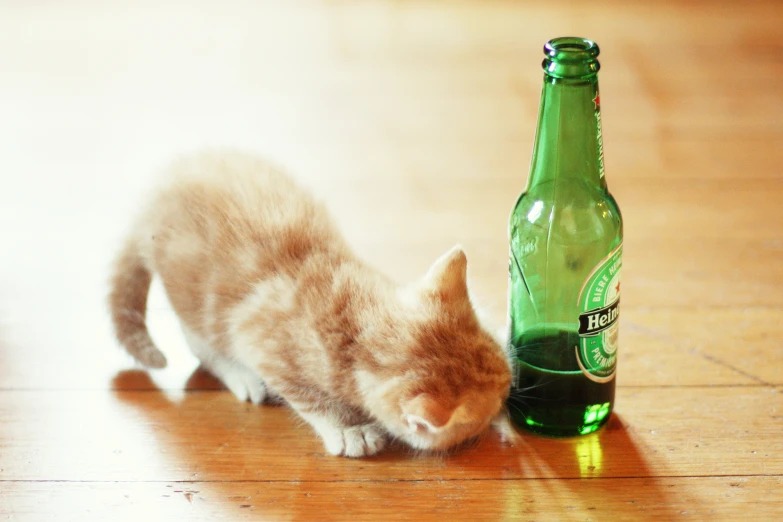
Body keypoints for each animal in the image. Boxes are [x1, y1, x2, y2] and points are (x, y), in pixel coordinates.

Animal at [110, 150, 516, 456]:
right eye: (493, 404)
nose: (507, 400)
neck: (354, 317)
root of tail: (153, 196)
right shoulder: (260, 342)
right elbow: (309, 397)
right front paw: (349, 429)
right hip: (195, 301)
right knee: (198, 340)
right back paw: (240, 375)